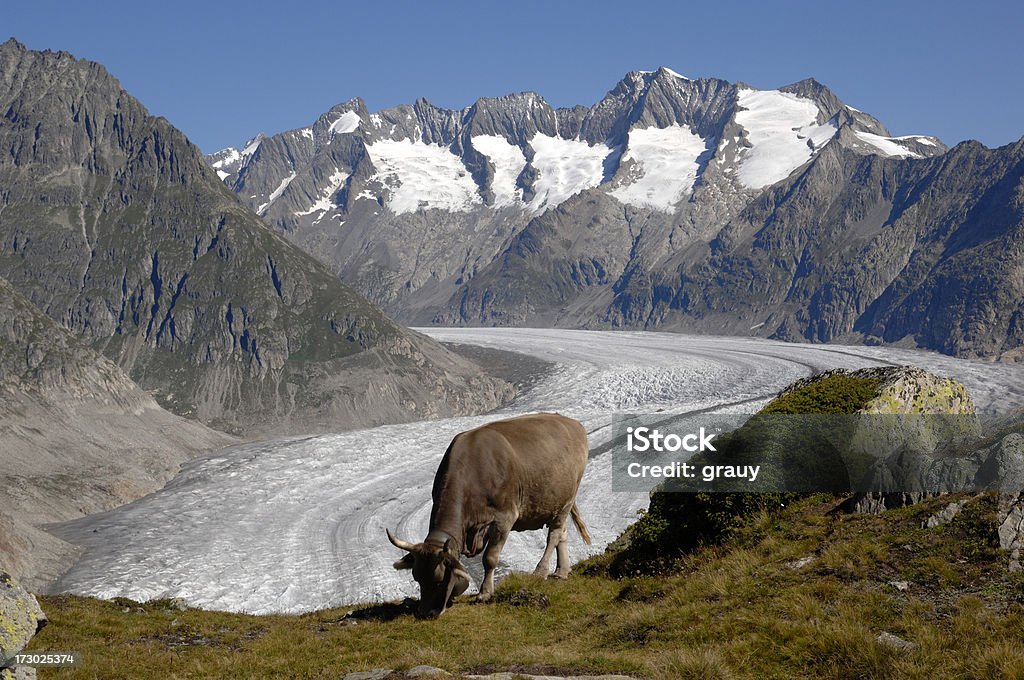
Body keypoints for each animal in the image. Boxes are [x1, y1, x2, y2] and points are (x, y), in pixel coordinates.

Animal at [385, 411, 593, 618]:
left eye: (438, 580)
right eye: (417, 579)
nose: (425, 613)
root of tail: (571, 422)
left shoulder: (504, 518)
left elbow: (490, 558)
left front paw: (485, 593)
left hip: (568, 499)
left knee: (554, 536)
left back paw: (540, 572)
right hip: (558, 502)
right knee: (562, 533)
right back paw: (562, 571)